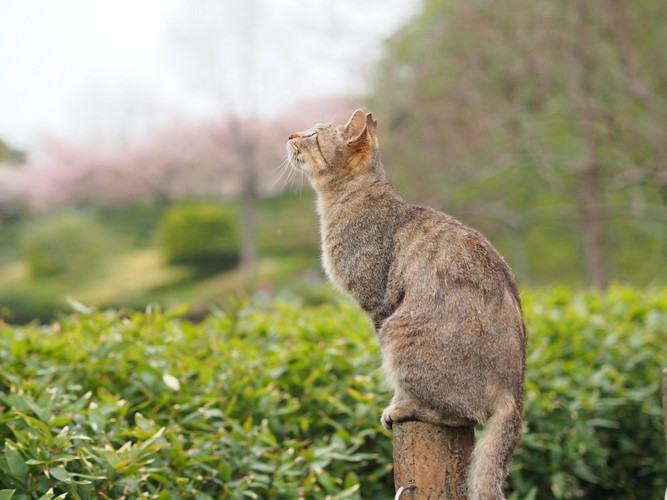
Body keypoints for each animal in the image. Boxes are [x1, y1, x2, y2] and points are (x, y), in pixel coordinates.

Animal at [288, 109, 528, 500]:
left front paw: (397, 404)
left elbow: (395, 380)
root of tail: (516, 393)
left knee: (462, 413)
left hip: (399, 332)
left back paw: (409, 409)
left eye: (313, 133)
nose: (291, 134)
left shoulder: (378, 304)